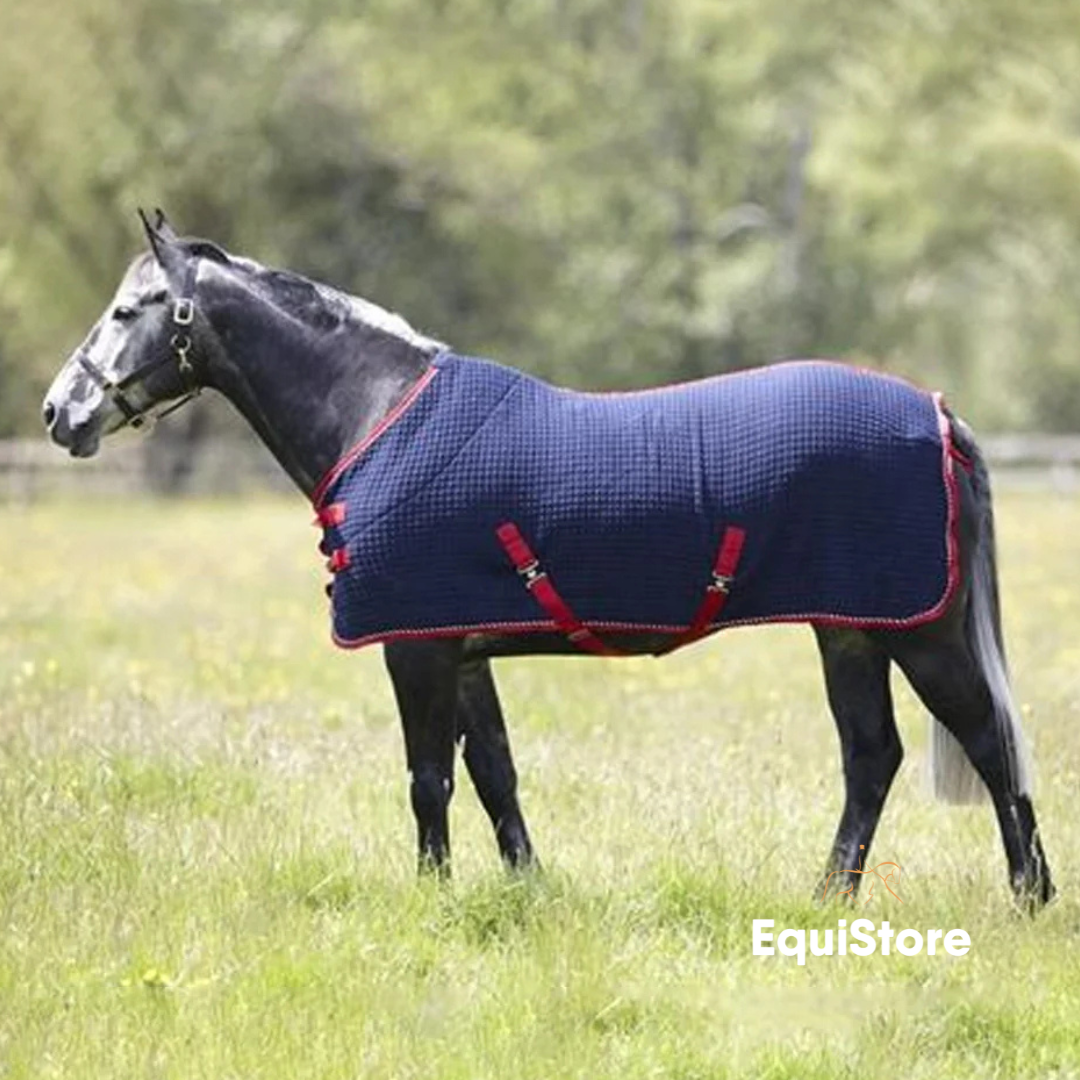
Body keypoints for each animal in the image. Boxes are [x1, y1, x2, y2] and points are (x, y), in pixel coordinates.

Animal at [42, 211, 1054, 908]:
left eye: (128, 309)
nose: (61, 412)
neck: (376, 415)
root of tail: (936, 412)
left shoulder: (416, 651)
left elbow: (429, 779)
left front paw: (434, 901)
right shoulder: (459, 650)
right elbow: (494, 773)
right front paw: (526, 889)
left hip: (921, 634)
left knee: (987, 741)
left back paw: (1029, 897)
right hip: (851, 631)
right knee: (871, 756)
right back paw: (826, 900)